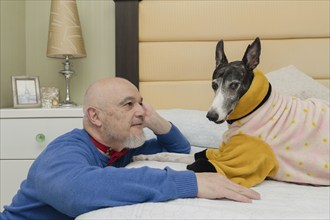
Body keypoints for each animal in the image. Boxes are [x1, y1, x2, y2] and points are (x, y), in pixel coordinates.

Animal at [133, 38, 328, 187]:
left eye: (234, 85)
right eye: (214, 85)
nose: (211, 116)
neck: (257, 109)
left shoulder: (228, 163)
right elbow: (171, 154)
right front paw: (144, 156)